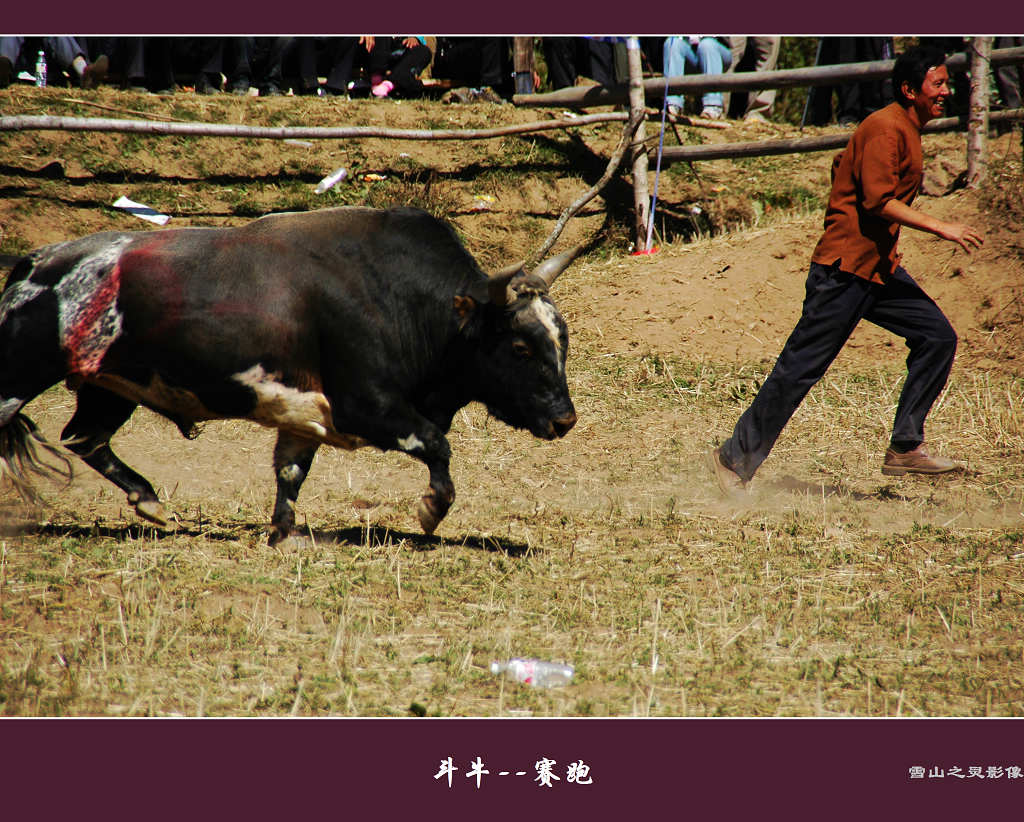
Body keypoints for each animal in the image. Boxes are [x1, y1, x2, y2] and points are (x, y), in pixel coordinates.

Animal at [0, 205, 577, 544]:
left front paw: (283, 532)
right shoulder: (367, 407)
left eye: (562, 339)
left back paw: (150, 501)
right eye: (521, 346)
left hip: (107, 387)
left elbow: (290, 472)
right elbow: (435, 443)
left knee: (85, 437)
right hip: (19, 378)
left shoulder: (304, 419)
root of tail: (36, 261)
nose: (565, 420)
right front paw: (432, 508)